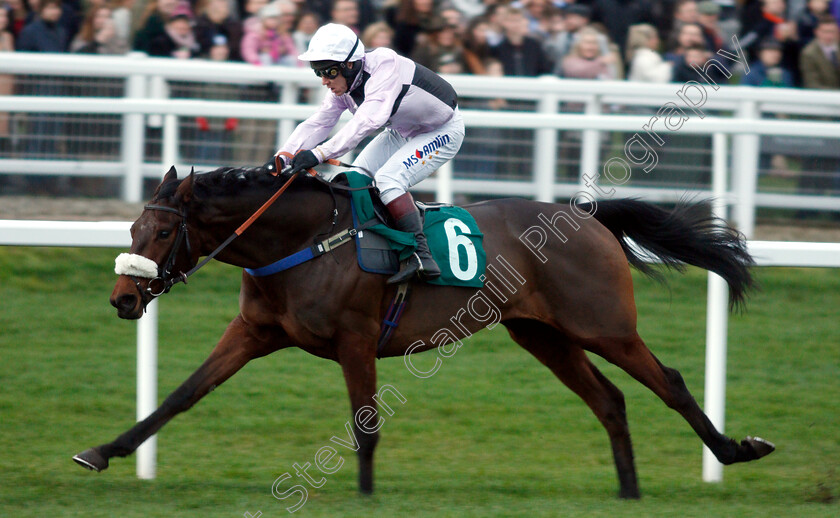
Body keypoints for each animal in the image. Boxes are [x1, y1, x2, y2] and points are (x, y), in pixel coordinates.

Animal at [72, 167, 776, 500]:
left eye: (164, 231)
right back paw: (628, 492)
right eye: (133, 228)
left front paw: (364, 496)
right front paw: (102, 451)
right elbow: (181, 395)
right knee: (610, 400)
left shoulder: (356, 340)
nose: (123, 298)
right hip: (541, 335)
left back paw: (737, 450)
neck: (302, 242)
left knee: (670, 383)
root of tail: (589, 217)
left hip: (603, 326)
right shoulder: (253, 332)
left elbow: (364, 425)